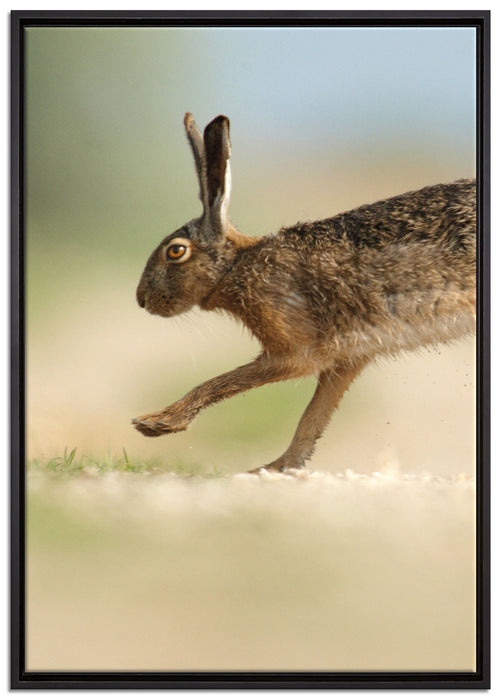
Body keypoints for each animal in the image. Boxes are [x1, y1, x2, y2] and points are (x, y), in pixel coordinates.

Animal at [133, 113, 476, 473]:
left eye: (175, 252)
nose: (141, 300)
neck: (235, 267)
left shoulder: (296, 351)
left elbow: (224, 381)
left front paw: (156, 423)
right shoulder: (348, 358)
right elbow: (313, 417)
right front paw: (278, 466)